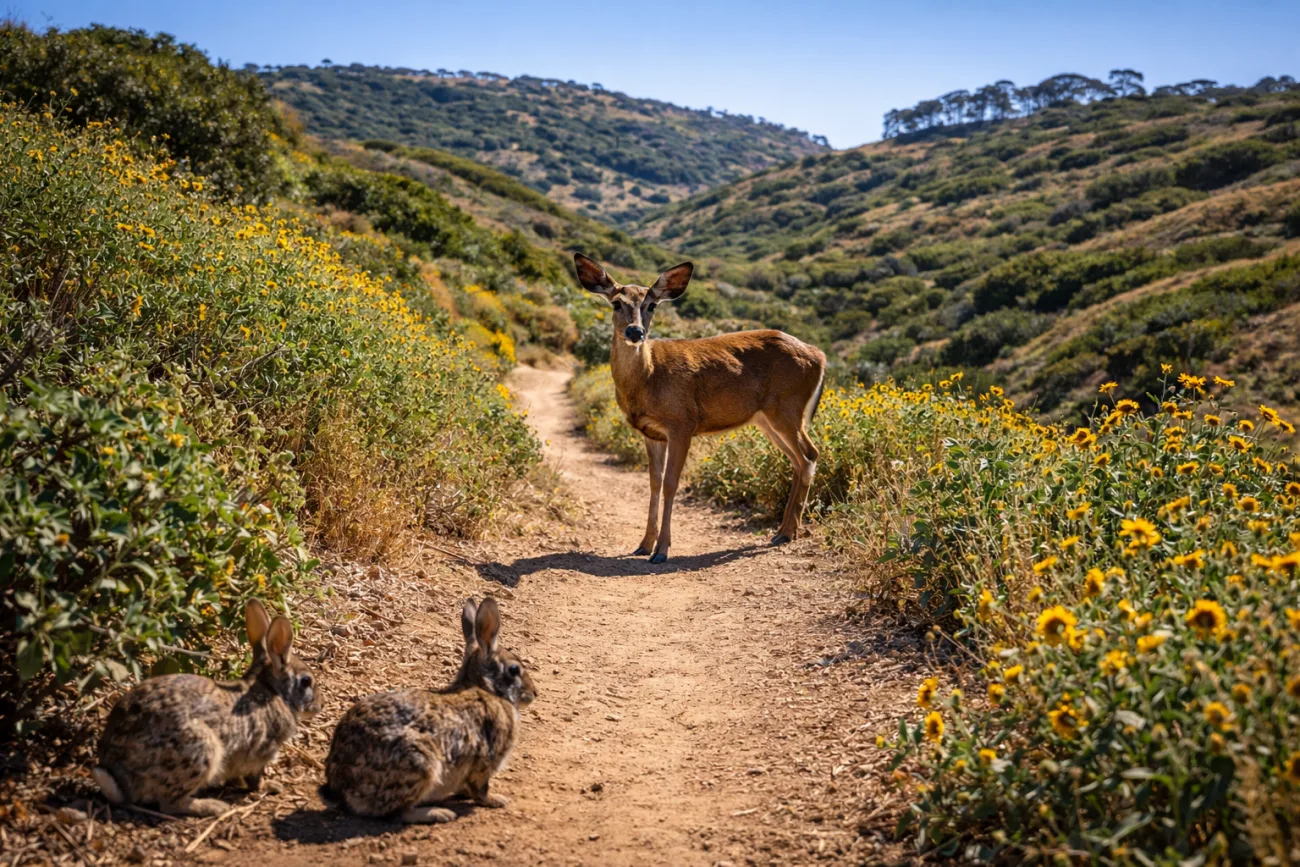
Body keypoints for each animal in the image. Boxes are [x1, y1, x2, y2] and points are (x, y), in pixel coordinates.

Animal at [91, 599, 320, 817]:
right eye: (306, 681)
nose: (320, 705)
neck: (272, 690)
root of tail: (121, 779)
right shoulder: (262, 752)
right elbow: (254, 778)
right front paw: (270, 786)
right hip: (200, 750)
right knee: (170, 804)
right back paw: (214, 807)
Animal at [321, 596, 536, 823]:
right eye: (514, 669)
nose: (534, 693)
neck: (487, 688)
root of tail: (341, 786)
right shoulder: (485, 761)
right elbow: (481, 789)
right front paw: (497, 800)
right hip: (419, 763)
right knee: (397, 812)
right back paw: (439, 813)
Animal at [573, 253, 826, 564]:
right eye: (616, 303)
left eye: (651, 305)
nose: (635, 331)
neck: (649, 378)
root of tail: (819, 356)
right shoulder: (651, 433)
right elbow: (654, 483)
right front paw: (643, 544)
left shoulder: (682, 423)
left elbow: (671, 483)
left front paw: (661, 550)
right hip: (767, 420)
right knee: (798, 460)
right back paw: (782, 531)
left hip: (788, 408)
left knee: (809, 455)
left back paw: (788, 532)